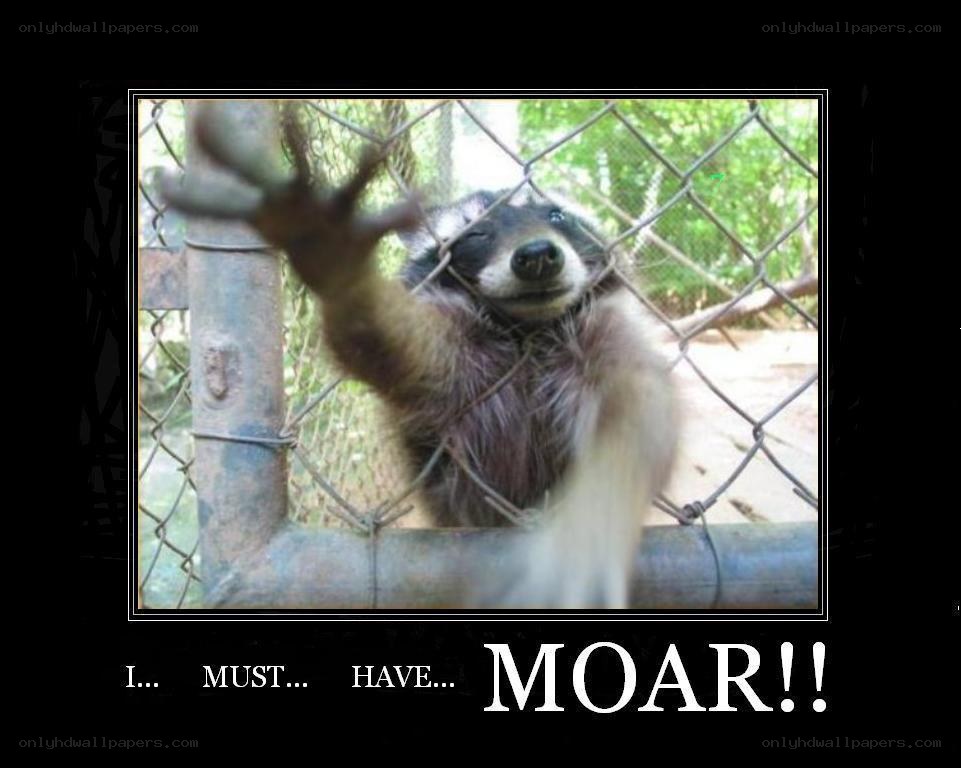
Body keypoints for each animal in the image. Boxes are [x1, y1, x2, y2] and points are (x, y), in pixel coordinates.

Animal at [161, 101, 680, 609]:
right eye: (478, 234)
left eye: (556, 217)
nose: (537, 257)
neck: (525, 331)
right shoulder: (456, 348)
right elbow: (391, 345)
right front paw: (346, 276)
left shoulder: (603, 335)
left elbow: (640, 419)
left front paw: (595, 517)